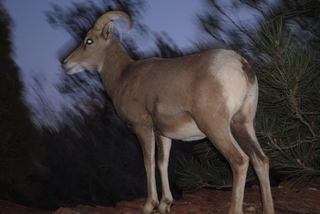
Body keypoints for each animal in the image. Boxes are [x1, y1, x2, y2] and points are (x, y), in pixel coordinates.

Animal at [62, 11, 276, 214]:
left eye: (89, 41)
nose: (65, 63)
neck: (123, 76)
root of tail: (241, 64)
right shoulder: (163, 135)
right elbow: (162, 163)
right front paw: (165, 205)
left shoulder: (143, 128)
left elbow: (148, 162)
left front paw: (149, 206)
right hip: (242, 124)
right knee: (260, 160)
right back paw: (268, 209)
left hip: (215, 128)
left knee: (240, 161)